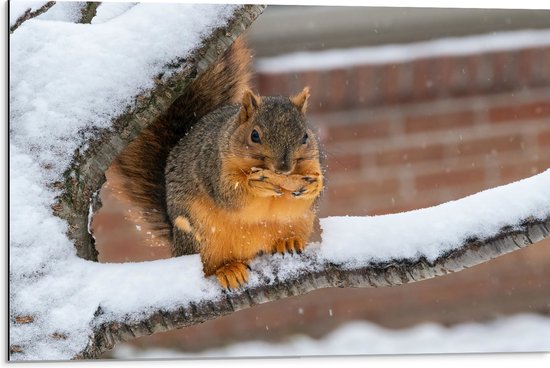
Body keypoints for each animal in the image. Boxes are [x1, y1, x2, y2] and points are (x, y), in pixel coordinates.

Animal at [113, 38, 328, 290]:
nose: (283, 168)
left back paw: (287, 242)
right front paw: (254, 184)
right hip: (200, 237)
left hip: (300, 224)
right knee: (209, 266)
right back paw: (228, 270)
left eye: (305, 136)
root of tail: (176, 245)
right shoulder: (212, 167)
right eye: (254, 135)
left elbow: (302, 200)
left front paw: (313, 186)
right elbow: (229, 195)